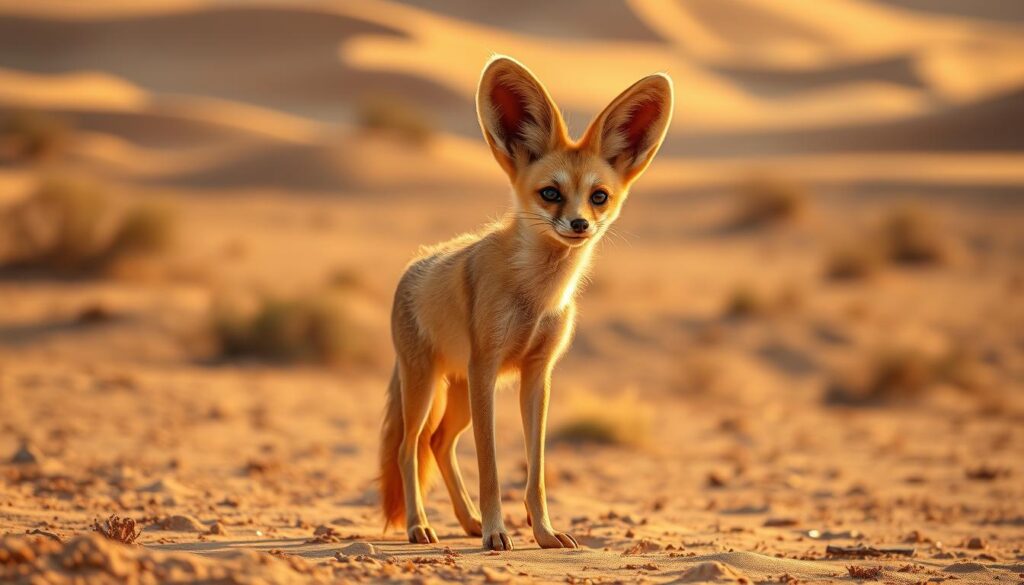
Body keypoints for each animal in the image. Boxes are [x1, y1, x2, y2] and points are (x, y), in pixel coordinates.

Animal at [379, 54, 673, 551]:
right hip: (426, 386)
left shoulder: (538, 373)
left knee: (438, 443)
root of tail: (414, 263)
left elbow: (535, 471)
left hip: (457, 394)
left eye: (598, 197)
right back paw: (421, 525)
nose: (579, 225)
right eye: (550, 193)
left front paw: (544, 533)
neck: (536, 297)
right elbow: (492, 467)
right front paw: (497, 532)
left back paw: (467, 520)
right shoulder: (486, 367)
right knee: (409, 446)